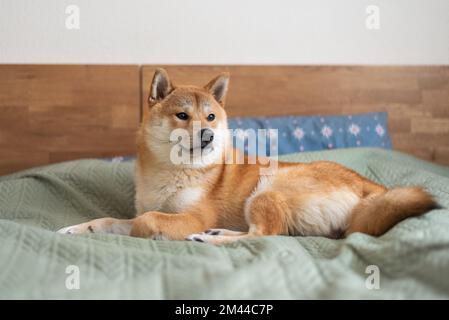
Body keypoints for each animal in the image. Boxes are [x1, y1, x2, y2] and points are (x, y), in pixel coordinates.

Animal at [57, 68, 436, 245]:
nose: (208, 135)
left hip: (267, 189)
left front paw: (152, 235)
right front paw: (77, 229)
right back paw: (215, 234)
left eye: (211, 117)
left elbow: (146, 221)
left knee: (266, 235)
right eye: (182, 115)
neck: (170, 171)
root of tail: (372, 188)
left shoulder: (190, 215)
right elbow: (108, 220)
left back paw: (209, 238)